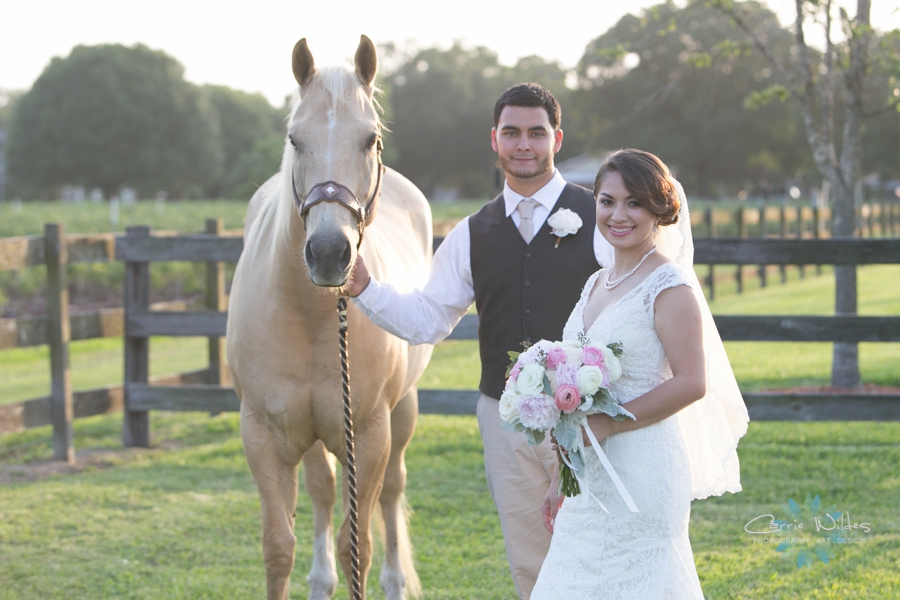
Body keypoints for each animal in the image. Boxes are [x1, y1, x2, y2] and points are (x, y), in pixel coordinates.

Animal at [227, 35, 434, 596]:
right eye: (295, 140)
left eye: (370, 139)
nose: (327, 253)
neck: (308, 316)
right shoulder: (262, 436)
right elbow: (278, 547)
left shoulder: (368, 435)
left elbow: (355, 546)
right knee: (321, 489)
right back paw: (320, 581)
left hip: (401, 415)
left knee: (392, 493)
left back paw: (394, 582)